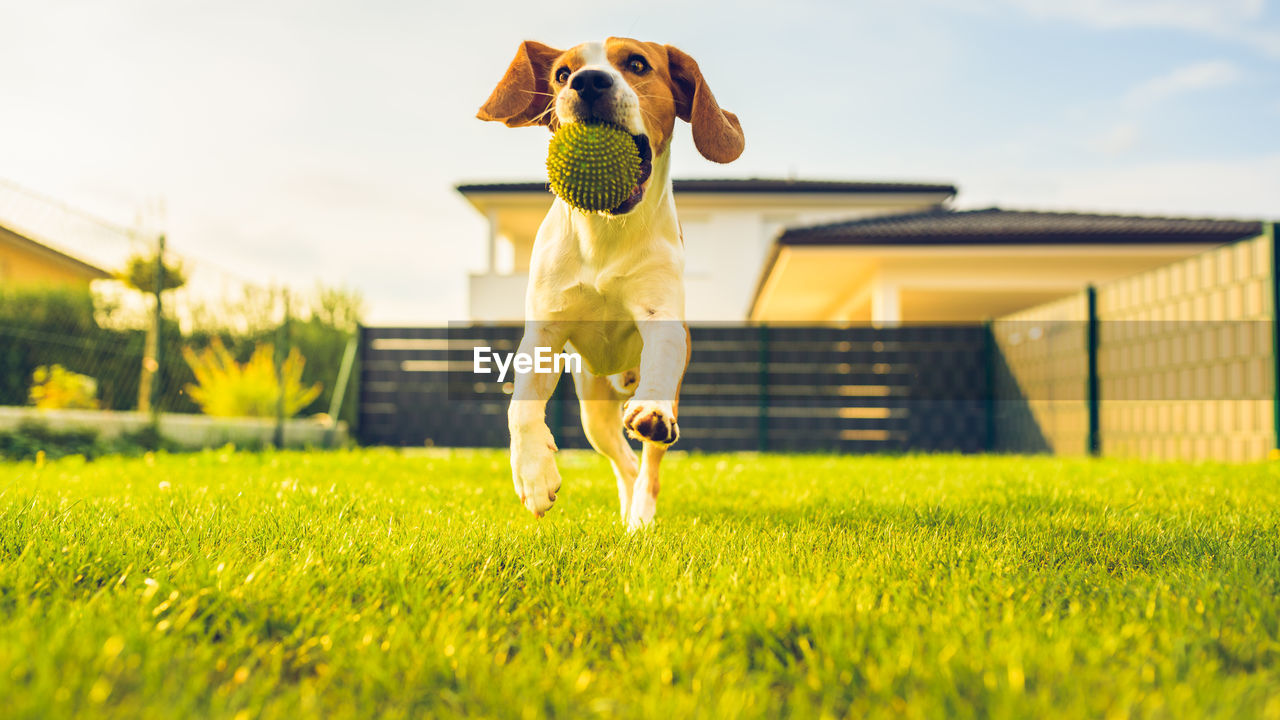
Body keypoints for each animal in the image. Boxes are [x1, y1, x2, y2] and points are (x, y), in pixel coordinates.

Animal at [478, 36, 742, 527]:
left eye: (637, 64)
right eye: (562, 74)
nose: (588, 82)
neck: (606, 230)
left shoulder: (661, 317)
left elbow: (659, 368)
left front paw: (651, 411)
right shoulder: (544, 331)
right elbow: (521, 404)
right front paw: (534, 473)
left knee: (648, 466)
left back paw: (640, 517)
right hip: (593, 412)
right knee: (624, 461)